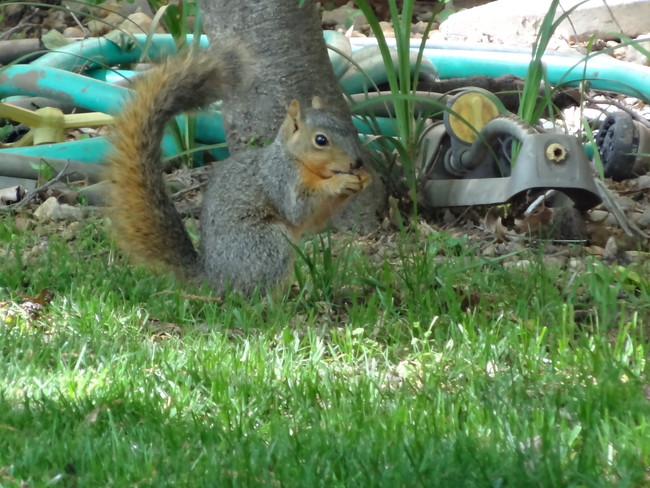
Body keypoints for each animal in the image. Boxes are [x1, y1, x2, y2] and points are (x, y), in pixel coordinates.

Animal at [106, 45, 370, 296]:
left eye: (347, 126)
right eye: (321, 140)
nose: (357, 163)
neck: (294, 157)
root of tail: (213, 279)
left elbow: (316, 219)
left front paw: (363, 180)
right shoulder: (281, 178)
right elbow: (299, 210)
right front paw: (340, 183)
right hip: (266, 243)